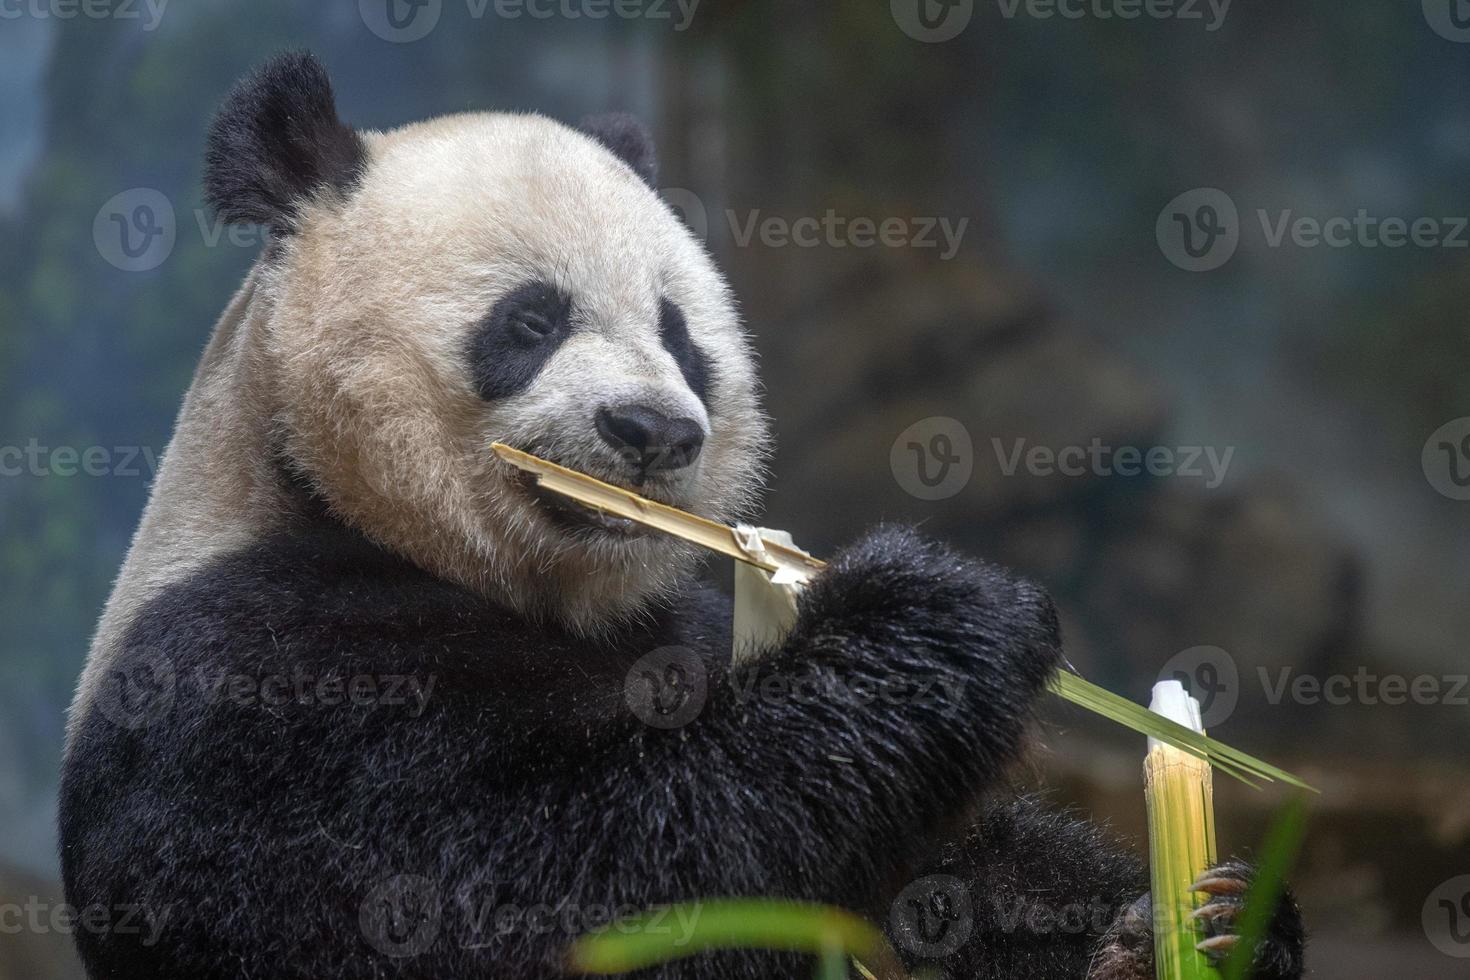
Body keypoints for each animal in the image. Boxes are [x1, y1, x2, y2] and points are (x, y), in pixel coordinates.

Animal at [57, 53, 1305, 980]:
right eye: (531, 320)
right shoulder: (248, 680)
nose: (655, 430)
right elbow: (531, 899)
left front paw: (1198, 917)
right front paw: (939, 620)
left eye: (681, 332)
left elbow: (946, 880)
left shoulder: (678, 626)